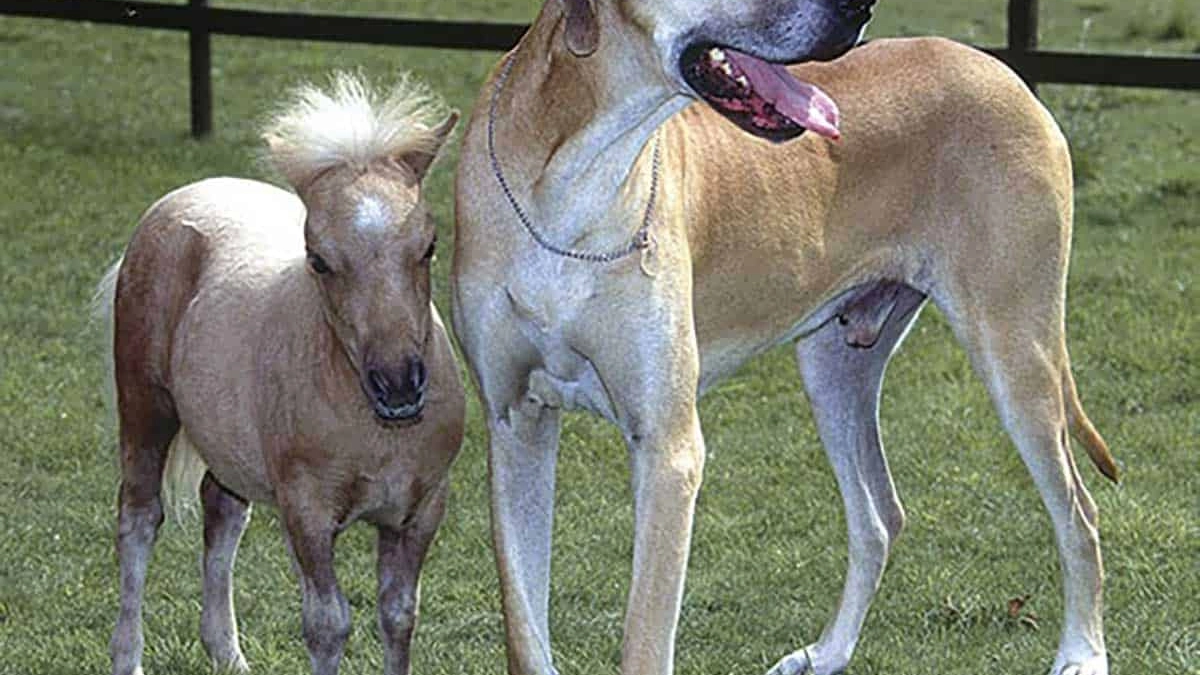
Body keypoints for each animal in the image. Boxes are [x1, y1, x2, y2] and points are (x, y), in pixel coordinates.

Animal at [94, 73, 462, 675]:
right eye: (318, 260)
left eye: (429, 246)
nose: (399, 385)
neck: (375, 430)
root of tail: (186, 194)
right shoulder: (307, 513)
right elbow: (328, 624)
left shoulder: (419, 511)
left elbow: (399, 616)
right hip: (145, 406)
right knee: (139, 520)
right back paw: (128, 657)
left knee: (222, 513)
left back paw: (227, 654)